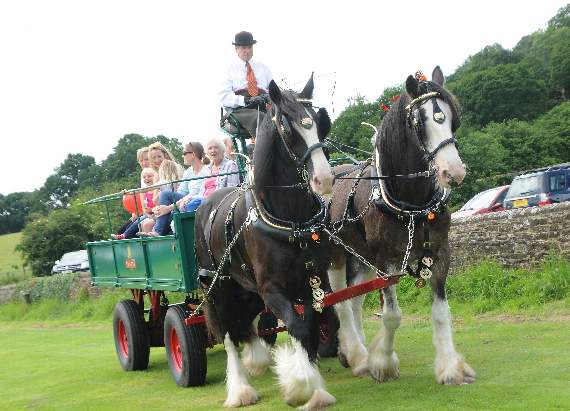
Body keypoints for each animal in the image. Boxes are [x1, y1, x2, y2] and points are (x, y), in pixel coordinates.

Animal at [195, 76, 338, 408]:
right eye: (287, 128)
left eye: (320, 122)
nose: (324, 179)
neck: (291, 221)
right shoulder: (272, 288)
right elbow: (298, 326)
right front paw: (301, 386)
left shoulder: (312, 280)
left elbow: (312, 327)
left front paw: (315, 390)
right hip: (217, 288)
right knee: (227, 334)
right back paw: (240, 390)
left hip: (247, 291)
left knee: (244, 325)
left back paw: (256, 358)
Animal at [326, 67, 472, 386]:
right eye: (420, 121)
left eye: (452, 119)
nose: (454, 172)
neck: (412, 202)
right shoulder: (387, 261)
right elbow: (392, 315)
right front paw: (383, 363)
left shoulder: (439, 253)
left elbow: (441, 311)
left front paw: (450, 367)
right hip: (335, 257)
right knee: (341, 302)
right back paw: (355, 354)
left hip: (362, 257)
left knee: (354, 300)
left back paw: (357, 350)